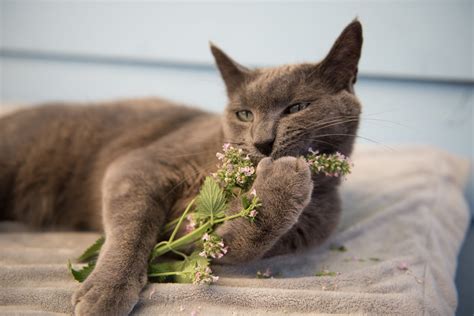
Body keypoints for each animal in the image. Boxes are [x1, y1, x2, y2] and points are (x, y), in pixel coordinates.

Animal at [0, 21, 362, 314]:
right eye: (244, 114)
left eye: (297, 108)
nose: (263, 142)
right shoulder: (141, 165)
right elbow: (132, 228)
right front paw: (106, 293)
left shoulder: (307, 225)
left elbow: (237, 242)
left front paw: (282, 182)